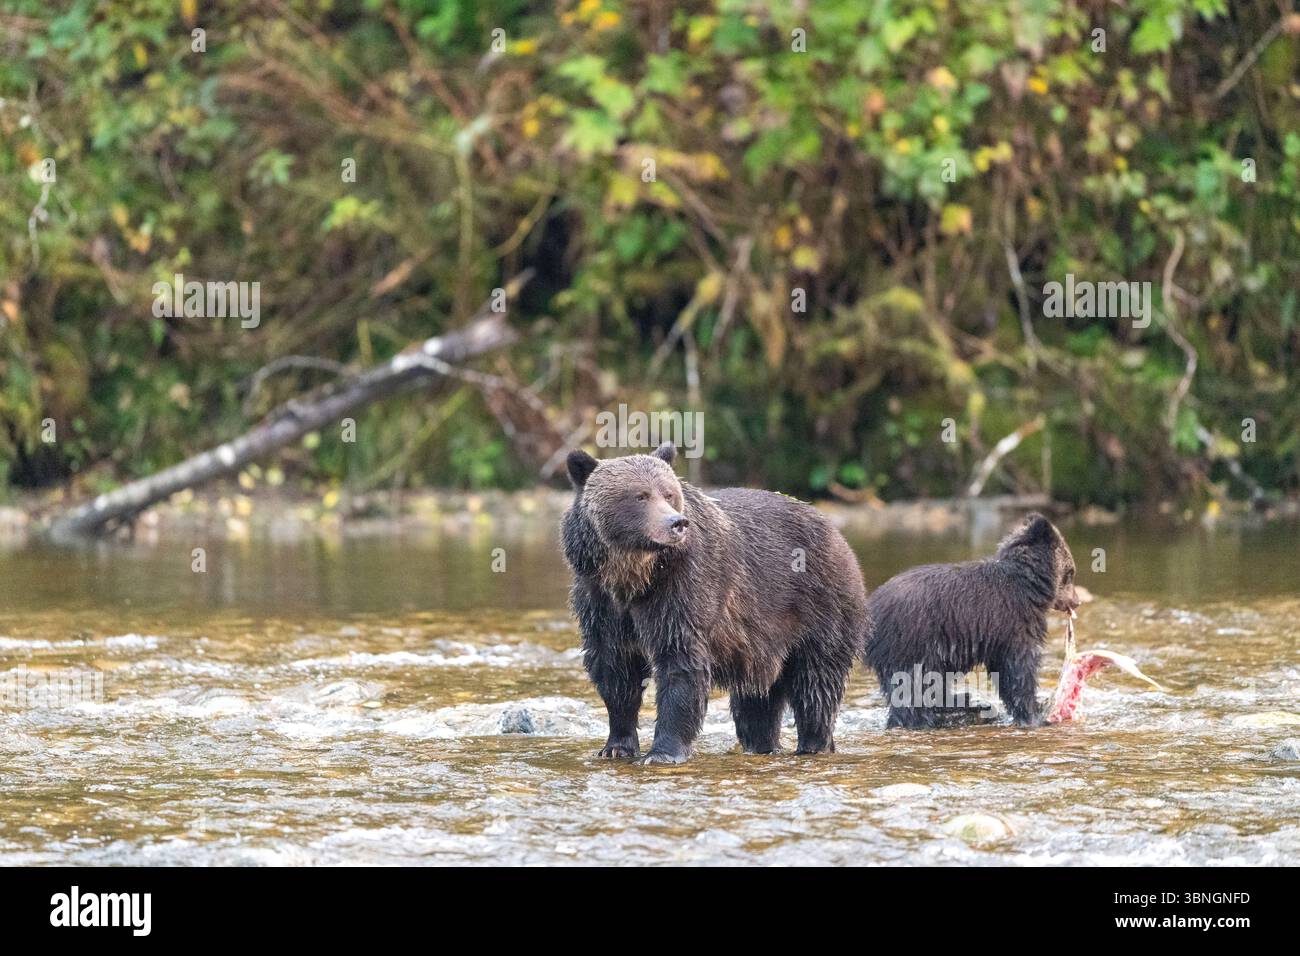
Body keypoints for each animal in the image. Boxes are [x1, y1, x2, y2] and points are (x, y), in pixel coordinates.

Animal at [561, 443, 867, 764]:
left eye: (669, 494)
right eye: (640, 495)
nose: (676, 523)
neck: (633, 576)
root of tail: (838, 535)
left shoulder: (682, 588)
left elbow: (680, 663)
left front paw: (662, 752)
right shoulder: (599, 600)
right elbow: (614, 668)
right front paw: (616, 746)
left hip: (820, 606)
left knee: (816, 685)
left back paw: (813, 744)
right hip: (761, 643)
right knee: (757, 703)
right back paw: (763, 744)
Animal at [862, 512, 1080, 729]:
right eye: (1070, 573)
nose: (1076, 601)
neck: (1029, 587)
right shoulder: (1013, 623)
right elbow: (1018, 670)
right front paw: (1035, 715)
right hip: (913, 643)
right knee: (914, 690)